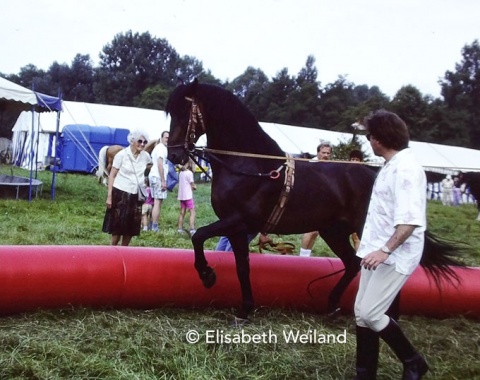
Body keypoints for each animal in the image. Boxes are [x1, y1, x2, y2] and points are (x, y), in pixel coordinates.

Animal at [167, 79, 464, 320]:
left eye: (184, 112)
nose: (173, 155)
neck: (249, 165)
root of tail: (375, 174)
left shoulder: (238, 220)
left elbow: (198, 235)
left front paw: (207, 276)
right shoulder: (238, 229)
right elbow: (241, 267)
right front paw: (245, 309)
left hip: (361, 230)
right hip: (333, 231)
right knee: (352, 264)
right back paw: (332, 306)